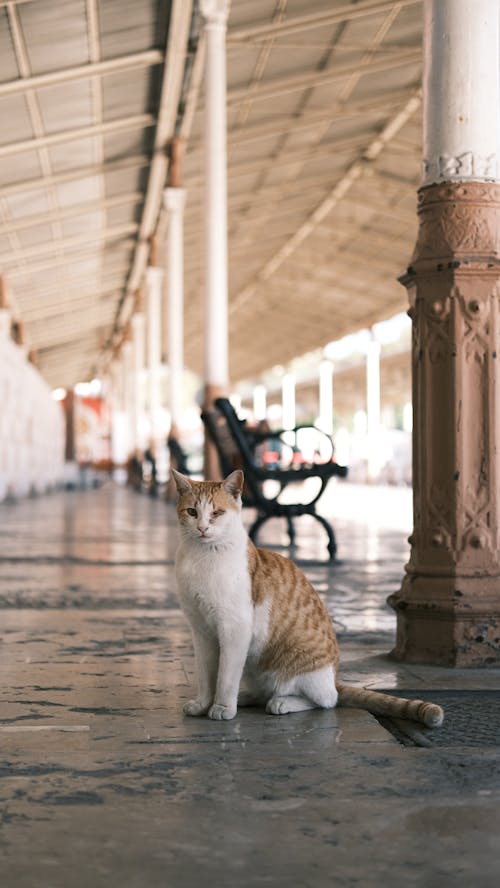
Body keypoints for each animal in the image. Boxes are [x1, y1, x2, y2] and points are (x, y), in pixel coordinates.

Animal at [171, 472, 442, 728]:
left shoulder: (234, 629)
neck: (202, 557)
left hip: (299, 671)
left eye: (216, 513)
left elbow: (226, 676)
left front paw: (223, 707)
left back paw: (281, 702)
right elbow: (207, 675)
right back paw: (247, 696)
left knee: (325, 700)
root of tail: (334, 678)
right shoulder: (202, 631)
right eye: (192, 512)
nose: (202, 528)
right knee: (266, 692)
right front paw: (204, 704)